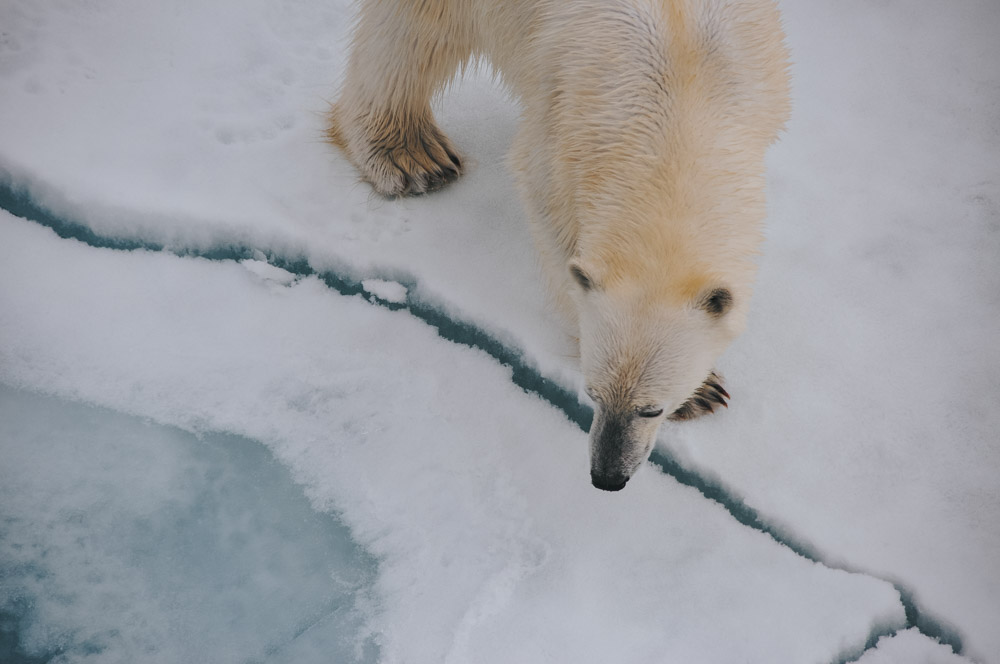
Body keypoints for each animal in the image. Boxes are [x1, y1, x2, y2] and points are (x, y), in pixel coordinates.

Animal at [328, 0, 788, 488]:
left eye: (651, 409)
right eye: (593, 392)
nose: (607, 477)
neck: (685, 88)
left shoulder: (764, 82)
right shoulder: (566, 113)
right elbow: (551, 212)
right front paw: (704, 391)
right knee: (410, 32)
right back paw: (410, 157)